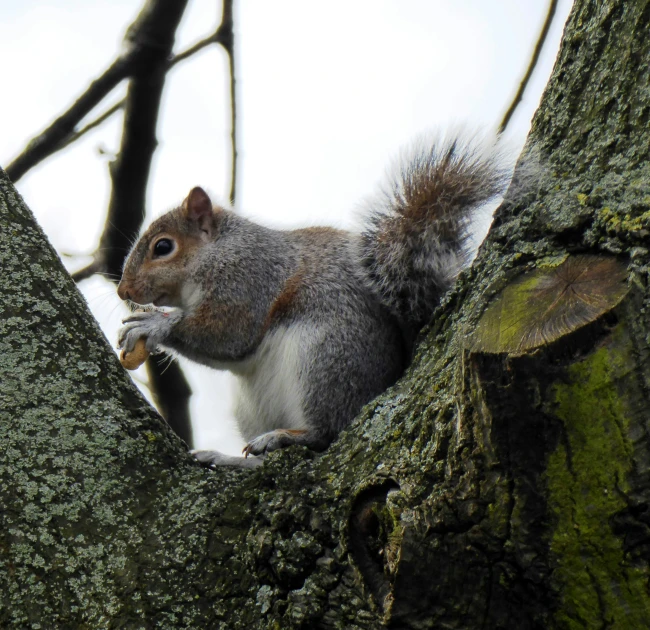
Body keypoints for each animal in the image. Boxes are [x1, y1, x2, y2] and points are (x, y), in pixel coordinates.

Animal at [119, 135, 508, 470]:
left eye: (163, 247)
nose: (123, 291)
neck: (216, 252)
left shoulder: (249, 279)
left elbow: (229, 334)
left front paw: (155, 324)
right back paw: (232, 458)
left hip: (325, 358)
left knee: (326, 432)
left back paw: (286, 436)